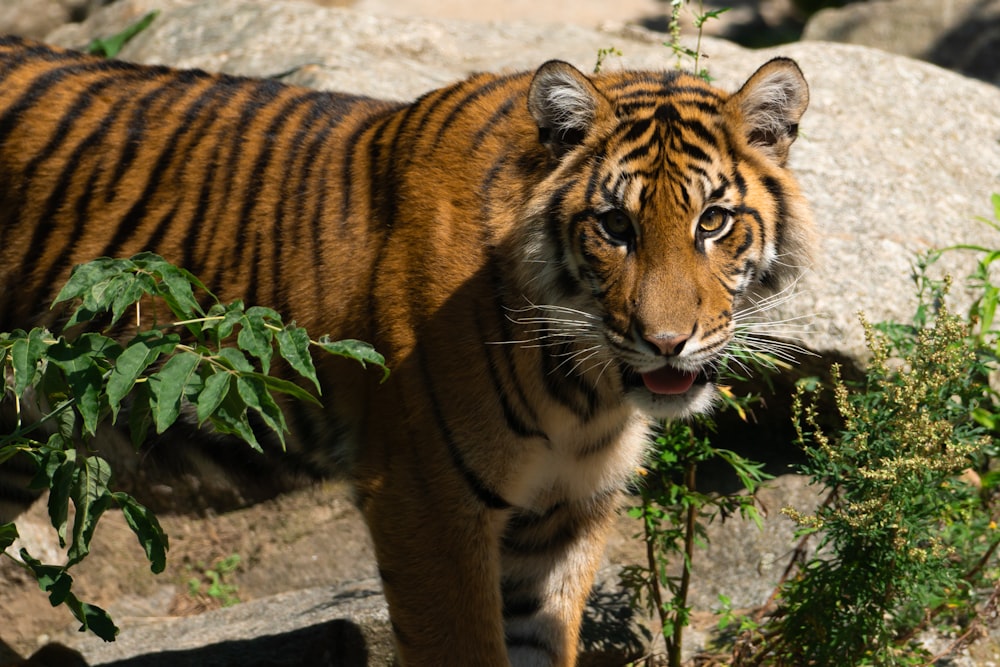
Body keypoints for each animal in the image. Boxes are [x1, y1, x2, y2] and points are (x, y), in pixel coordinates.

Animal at [0, 35, 812, 667]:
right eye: (615, 226)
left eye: (713, 221)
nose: (666, 342)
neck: (588, 392)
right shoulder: (426, 502)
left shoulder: (560, 517)